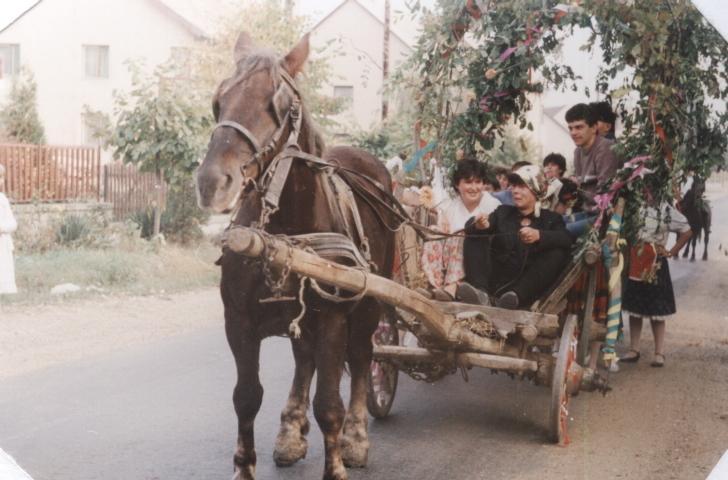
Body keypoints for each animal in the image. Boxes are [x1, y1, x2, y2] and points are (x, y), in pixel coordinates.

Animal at [196, 31, 396, 480]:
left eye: (280, 105)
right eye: (219, 99)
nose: (212, 182)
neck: (285, 231)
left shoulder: (334, 317)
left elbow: (329, 404)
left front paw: (335, 465)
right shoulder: (238, 320)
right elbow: (247, 397)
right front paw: (245, 467)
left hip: (369, 304)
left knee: (363, 359)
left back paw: (356, 437)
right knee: (304, 360)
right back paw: (290, 431)